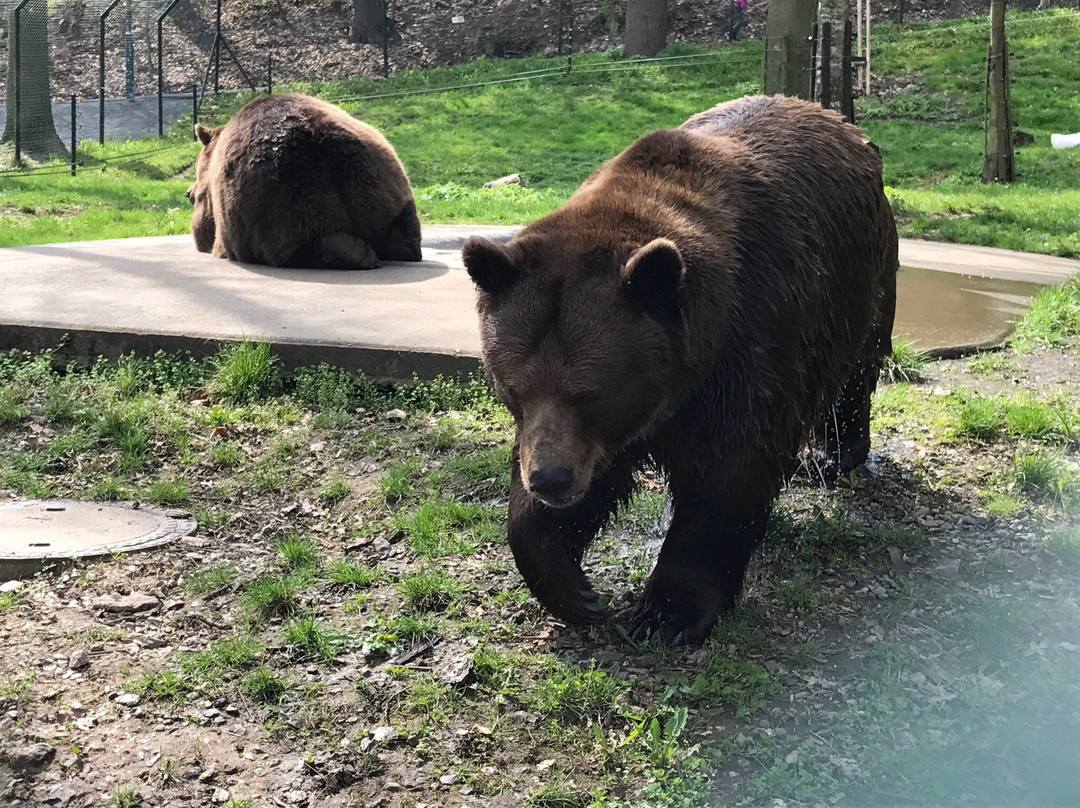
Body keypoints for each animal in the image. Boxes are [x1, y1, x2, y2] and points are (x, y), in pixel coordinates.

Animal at [185, 91, 421, 267]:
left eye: (192, 197)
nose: (188, 192)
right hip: (382, 182)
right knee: (401, 231)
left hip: (283, 195)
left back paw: (348, 251)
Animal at [460, 92, 898, 643]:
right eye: (513, 389)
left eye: (589, 392)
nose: (551, 479)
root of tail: (837, 121)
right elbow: (578, 482)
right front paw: (574, 589)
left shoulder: (750, 344)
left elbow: (728, 473)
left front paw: (664, 612)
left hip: (858, 282)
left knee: (856, 373)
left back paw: (831, 454)